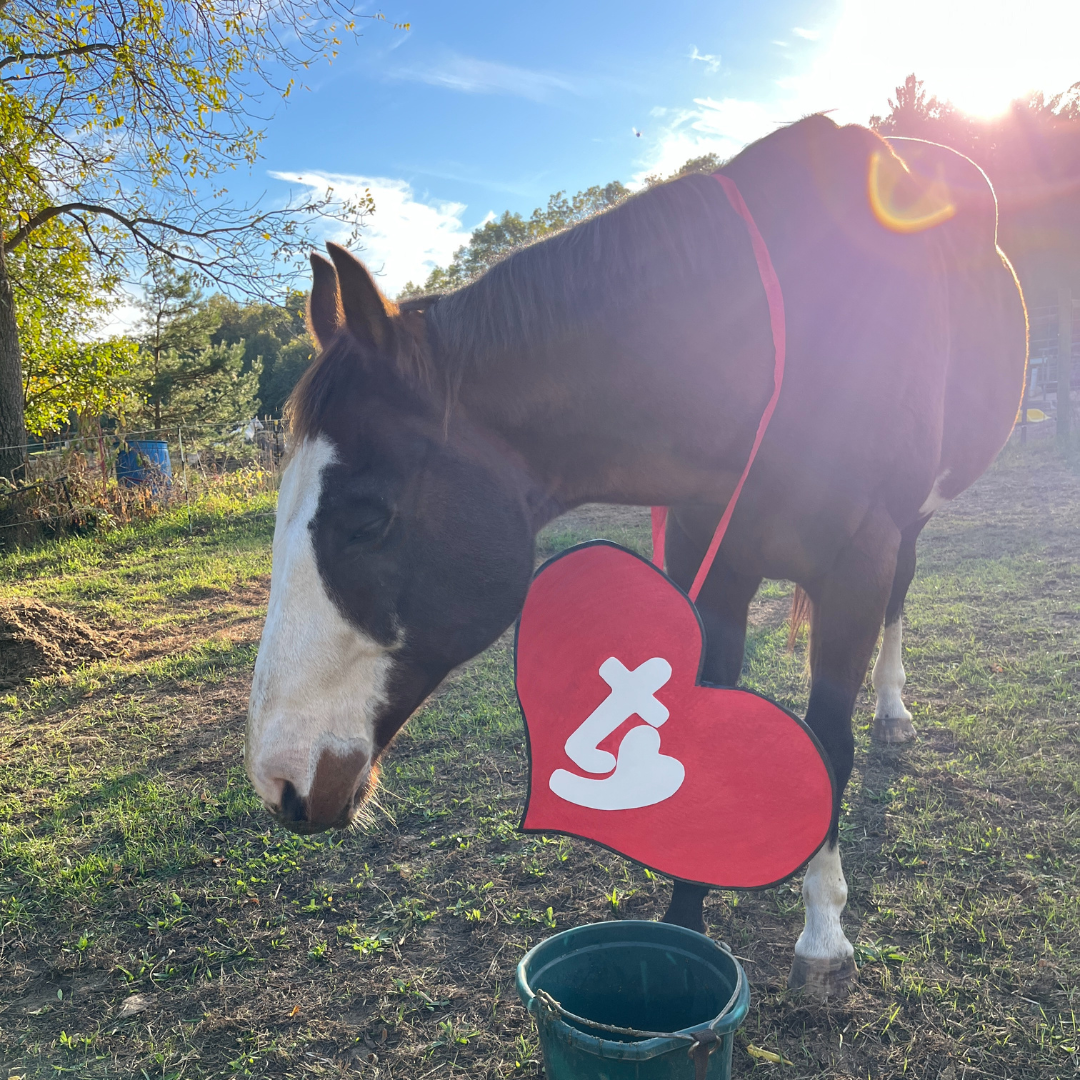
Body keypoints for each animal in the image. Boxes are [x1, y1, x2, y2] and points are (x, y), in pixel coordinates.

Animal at [245, 114, 1027, 999]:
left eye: (368, 518)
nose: (280, 778)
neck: (769, 355)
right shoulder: (708, 566)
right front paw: (686, 921)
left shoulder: (855, 565)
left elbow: (830, 742)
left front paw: (824, 935)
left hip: (907, 528)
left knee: (901, 596)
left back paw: (892, 708)